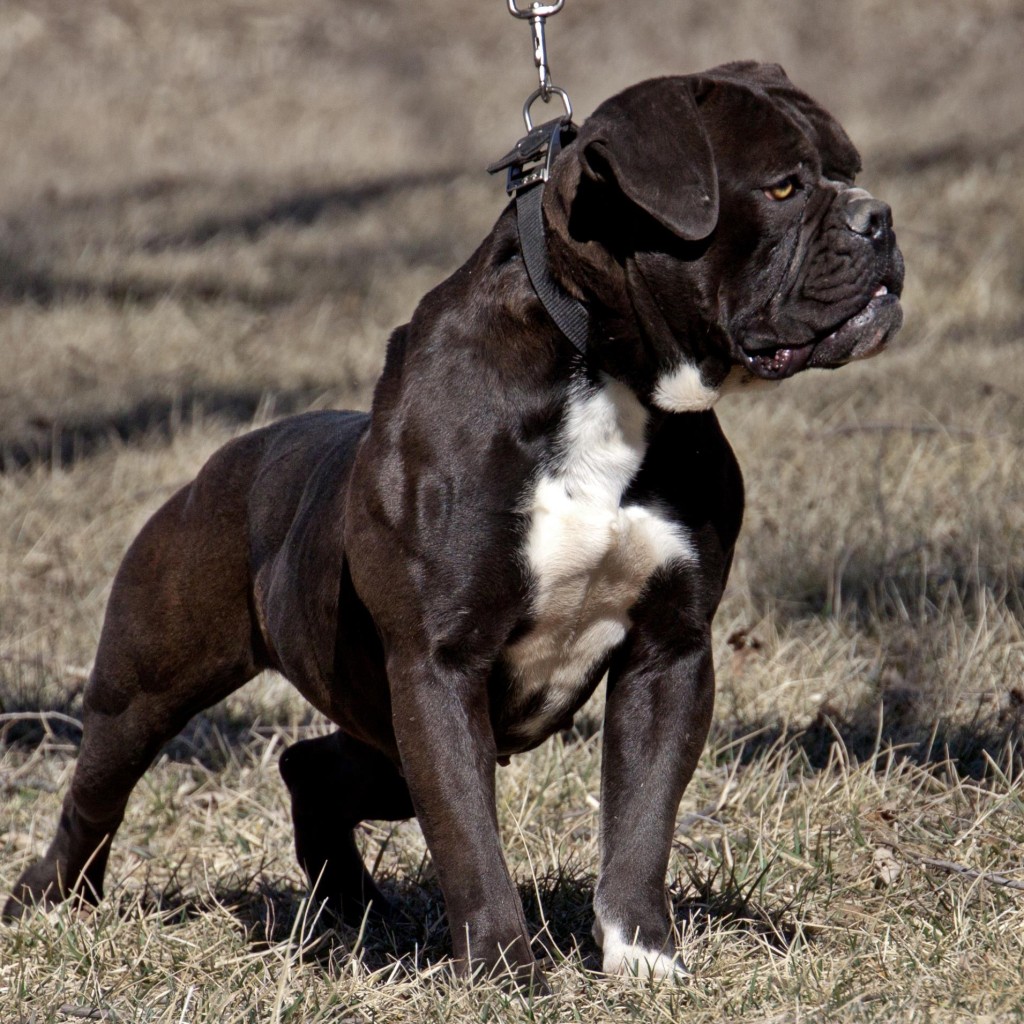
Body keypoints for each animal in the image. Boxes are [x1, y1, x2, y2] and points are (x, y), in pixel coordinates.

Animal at [6, 59, 905, 987]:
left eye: (847, 169)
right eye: (783, 186)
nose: (879, 218)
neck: (605, 375)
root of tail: (226, 460)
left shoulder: (670, 654)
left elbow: (641, 816)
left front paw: (643, 958)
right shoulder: (440, 667)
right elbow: (472, 839)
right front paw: (507, 969)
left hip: (386, 737)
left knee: (309, 767)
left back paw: (350, 908)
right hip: (150, 687)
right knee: (98, 792)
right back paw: (51, 901)